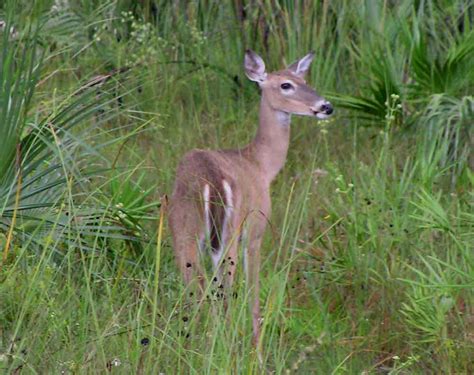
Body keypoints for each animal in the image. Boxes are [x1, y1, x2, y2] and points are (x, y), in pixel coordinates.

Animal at [169, 50, 334, 350]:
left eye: (304, 80)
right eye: (285, 85)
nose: (326, 106)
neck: (261, 165)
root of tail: (209, 180)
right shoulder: (256, 229)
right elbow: (254, 292)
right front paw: (257, 347)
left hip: (181, 228)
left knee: (193, 286)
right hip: (228, 235)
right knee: (221, 290)